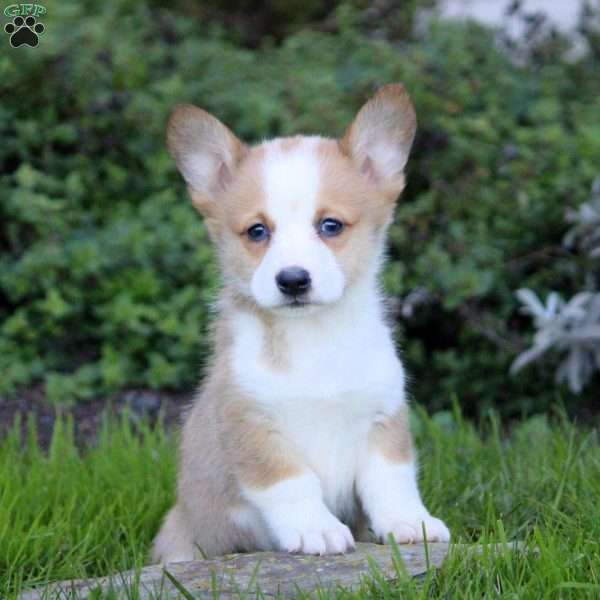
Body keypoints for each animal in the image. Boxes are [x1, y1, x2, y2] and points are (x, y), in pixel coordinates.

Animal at [152, 83, 448, 564]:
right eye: (257, 231)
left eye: (330, 225)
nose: (292, 280)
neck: (315, 339)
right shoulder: (253, 423)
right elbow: (291, 484)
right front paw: (317, 530)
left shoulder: (383, 417)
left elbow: (393, 481)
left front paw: (410, 524)